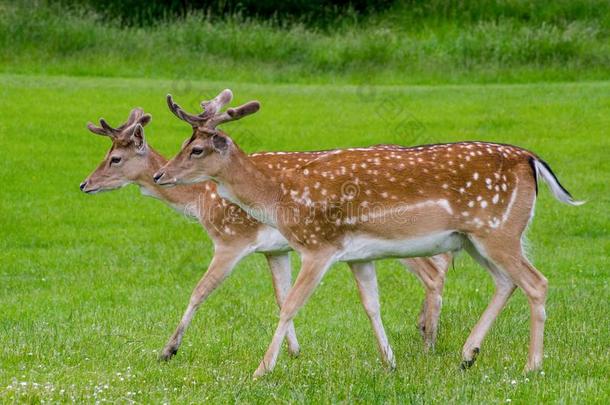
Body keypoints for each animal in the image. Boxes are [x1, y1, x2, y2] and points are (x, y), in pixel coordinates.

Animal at [151, 90, 580, 378]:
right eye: (184, 143)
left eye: (197, 150)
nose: (159, 175)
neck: (280, 196)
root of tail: (531, 159)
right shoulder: (358, 255)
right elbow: (371, 305)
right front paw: (389, 363)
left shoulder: (318, 245)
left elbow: (290, 305)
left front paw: (261, 370)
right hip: (474, 238)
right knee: (506, 281)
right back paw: (467, 354)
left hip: (498, 230)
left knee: (536, 282)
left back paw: (531, 365)